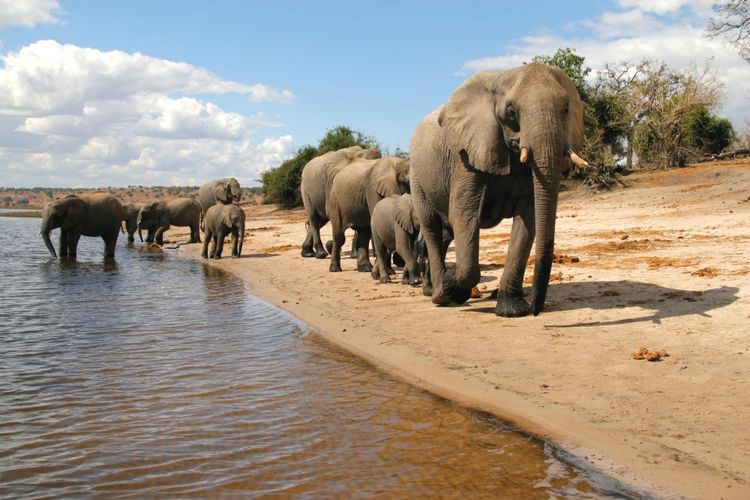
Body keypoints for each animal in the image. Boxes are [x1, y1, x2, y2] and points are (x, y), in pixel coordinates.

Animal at [408, 63, 592, 316]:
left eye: (565, 109)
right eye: (512, 111)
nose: (536, 308)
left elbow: (528, 219)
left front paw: (513, 310)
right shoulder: (465, 157)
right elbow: (464, 215)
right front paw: (457, 292)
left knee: (445, 233)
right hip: (416, 177)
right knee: (432, 227)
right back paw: (440, 295)